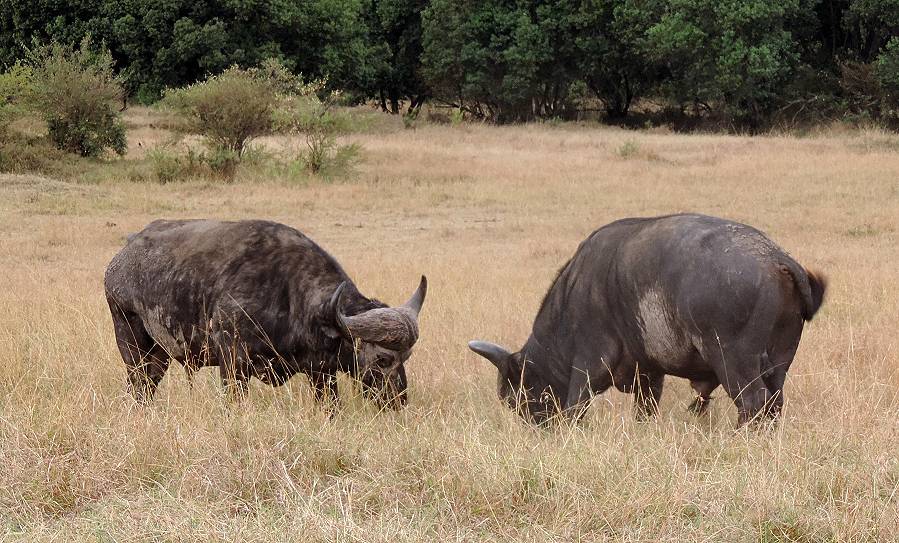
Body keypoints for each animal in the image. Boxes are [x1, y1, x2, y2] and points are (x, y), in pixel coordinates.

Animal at [472, 212, 828, 424]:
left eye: (519, 396)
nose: (536, 426)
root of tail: (776, 259)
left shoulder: (588, 365)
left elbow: (575, 405)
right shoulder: (649, 374)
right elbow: (646, 409)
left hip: (734, 360)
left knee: (753, 403)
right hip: (779, 364)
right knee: (774, 404)